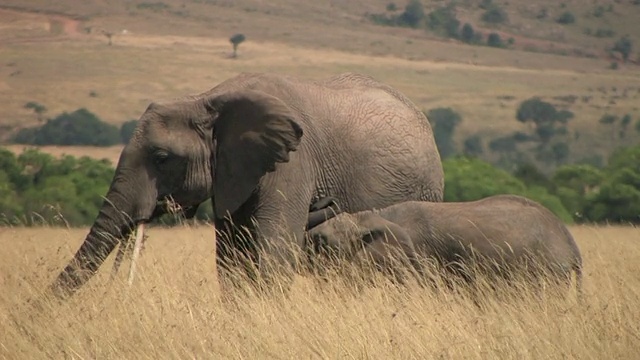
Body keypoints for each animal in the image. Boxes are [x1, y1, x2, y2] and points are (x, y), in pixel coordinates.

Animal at [48, 71, 444, 296]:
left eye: (161, 158)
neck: (206, 100)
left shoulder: (293, 163)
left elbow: (274, 251)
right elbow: (231, 256)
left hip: (426, 187)